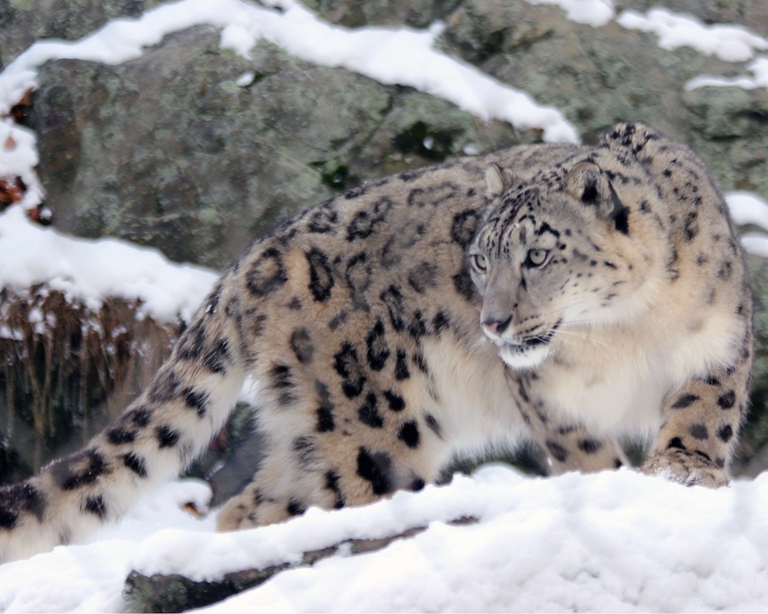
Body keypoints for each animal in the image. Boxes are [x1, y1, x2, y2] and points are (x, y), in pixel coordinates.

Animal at [0, 122, 753, 563]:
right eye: (481, 260)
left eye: (538, 255)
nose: (493, 323)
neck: (626, 330)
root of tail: (251, 260)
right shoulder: (549, 396)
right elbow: (586, 456)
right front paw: (617, 488)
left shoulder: (718, 345)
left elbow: (702, 411)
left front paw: (685, 469)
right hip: (373, 428)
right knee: (287, 502)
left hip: (325, 431)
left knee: (259, 500)